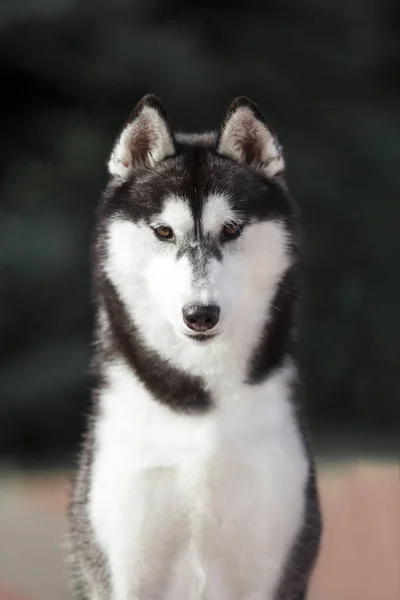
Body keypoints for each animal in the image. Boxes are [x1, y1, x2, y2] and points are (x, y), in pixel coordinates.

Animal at [66, 95, 322, 600]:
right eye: (164, 232)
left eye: (233, 229)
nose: (201, 314)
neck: (201, 399)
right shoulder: (124, 568)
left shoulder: (275, 567)